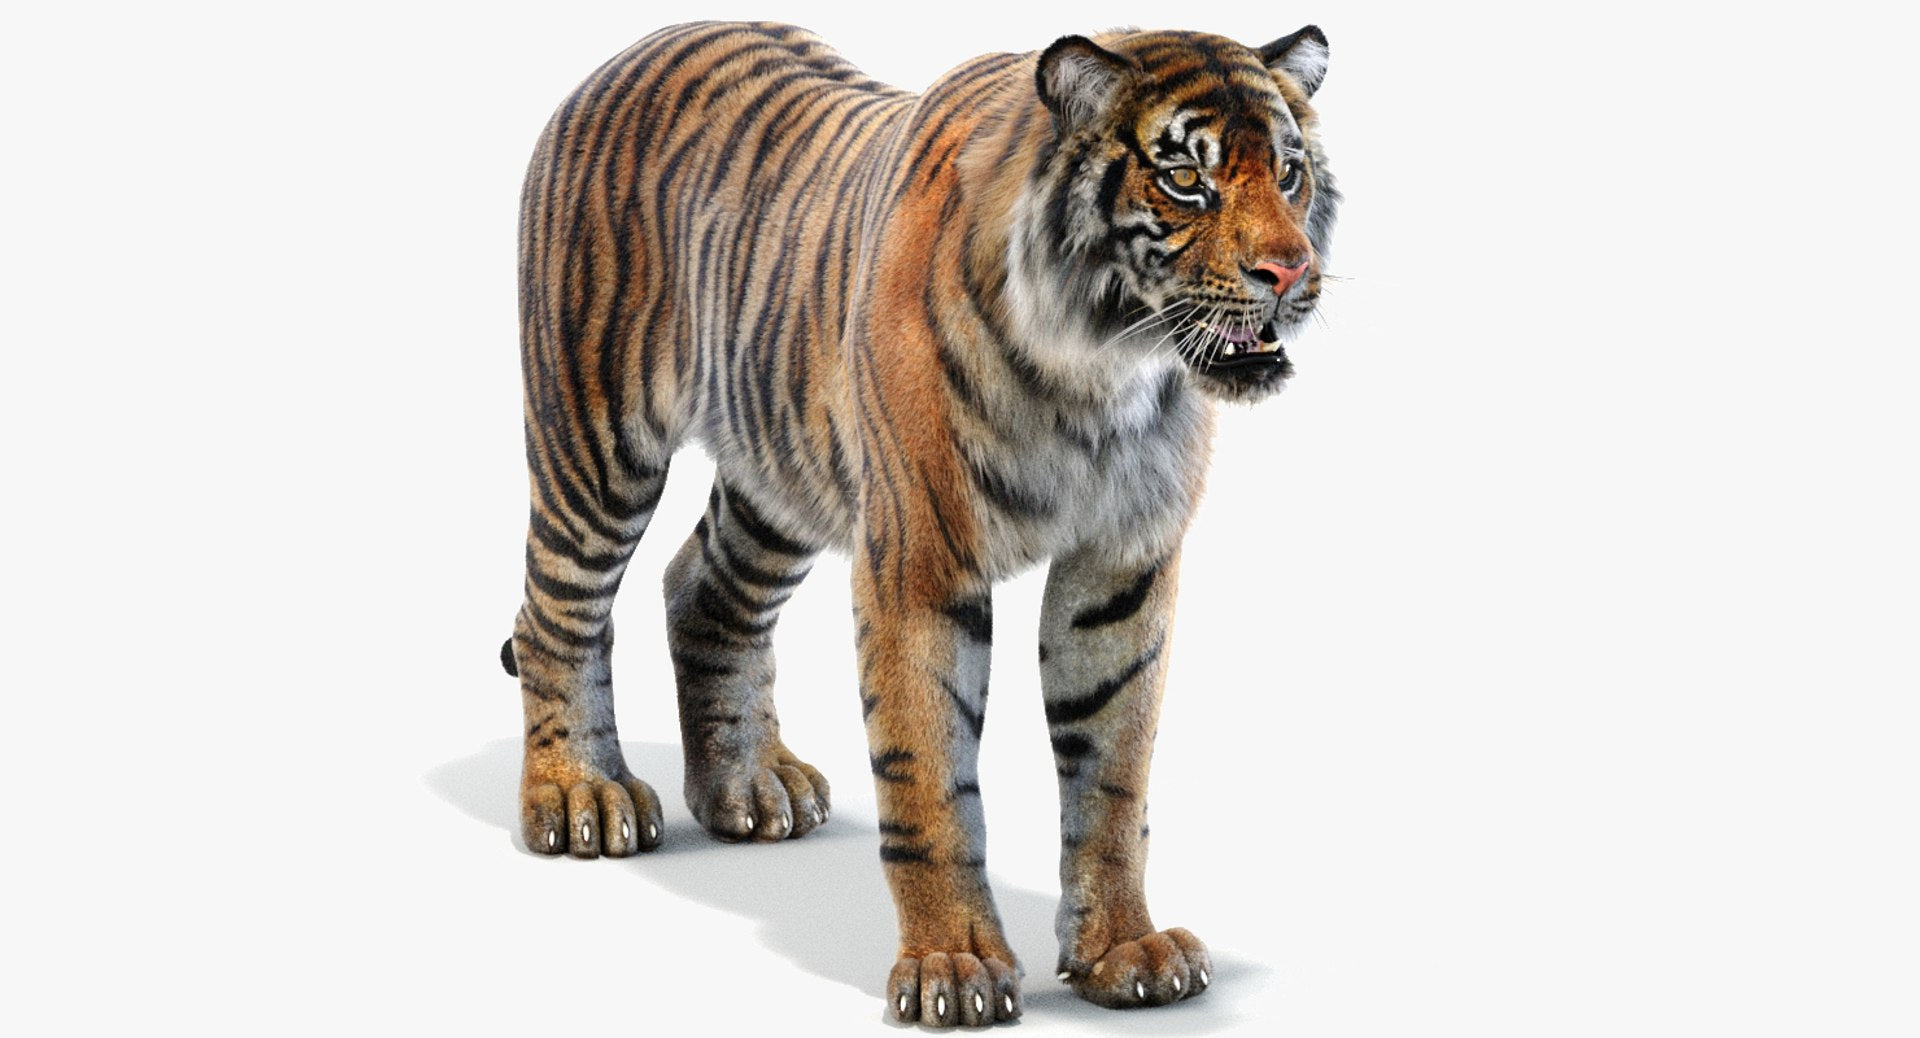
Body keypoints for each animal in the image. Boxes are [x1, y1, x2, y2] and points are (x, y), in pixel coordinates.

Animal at [500, 20, 1338, 1026]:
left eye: (1288, 172)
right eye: (1184, 178)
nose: (1291, 271)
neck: (1102, 369)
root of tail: (629, 52)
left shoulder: (1122, 568)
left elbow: (1112, 773)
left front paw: (1122, 953)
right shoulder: (919, 563)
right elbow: (930, 777)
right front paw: (954, 968)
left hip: (782, 475)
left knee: (700, 589)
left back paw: (749, 787)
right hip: (596, 437)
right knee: (556, 613)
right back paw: (580, 796)